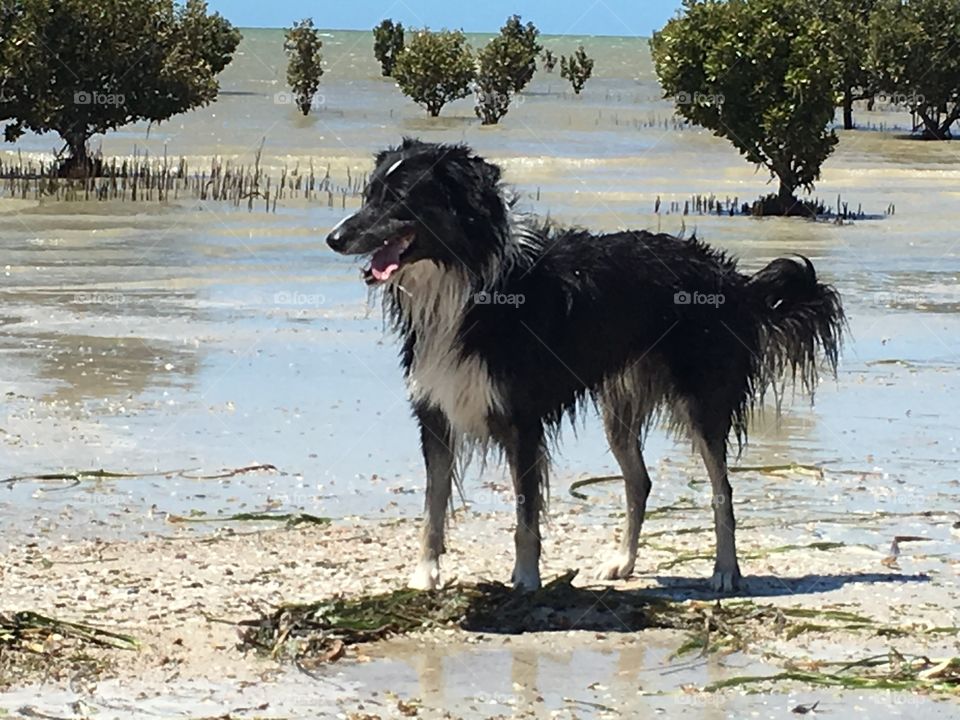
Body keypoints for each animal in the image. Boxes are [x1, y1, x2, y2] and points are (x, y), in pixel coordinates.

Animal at [326, 139, 844, 592]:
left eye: (400, 198)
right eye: (369, 194)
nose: (333, 238)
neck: (465, 285)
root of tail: (732, 279)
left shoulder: (521, 419)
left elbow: (525, 514)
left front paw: (526, 580)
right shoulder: (435, 410)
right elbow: (432, 506)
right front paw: (425, 576)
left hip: (702, 402)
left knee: (723, 489)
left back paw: (725, 571)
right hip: (620, 404)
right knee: (639, 481)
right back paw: (624, 561)